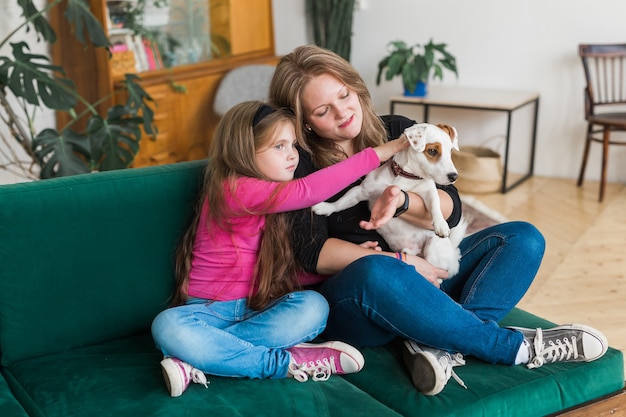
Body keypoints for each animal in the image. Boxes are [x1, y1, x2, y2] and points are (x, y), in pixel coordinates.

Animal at [310, 122, 464, 276]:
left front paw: (441, 223)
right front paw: (326, 207)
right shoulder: (361, 191)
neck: (404, 177)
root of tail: (455, 254)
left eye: (450, 151)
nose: (454, 176)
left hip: (433, 251)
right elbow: (341, 203)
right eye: (432, 151)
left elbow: (435, 204)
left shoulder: (429, 191)